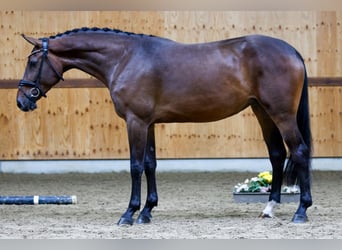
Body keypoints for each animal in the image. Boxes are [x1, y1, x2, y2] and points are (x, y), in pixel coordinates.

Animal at [16, 27, 312, 225]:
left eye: (33, 61)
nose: (22, 101)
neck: (125, 58)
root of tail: (292, 50)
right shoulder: (148, 124)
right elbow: (150, 164)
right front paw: (147, 211)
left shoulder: (135, 121)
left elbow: (135, 166)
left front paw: (129, 213)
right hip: (262, 111)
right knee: (277, 154)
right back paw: (269, 208)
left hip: (281, 114)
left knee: (299, 151)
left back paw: (301, 211)